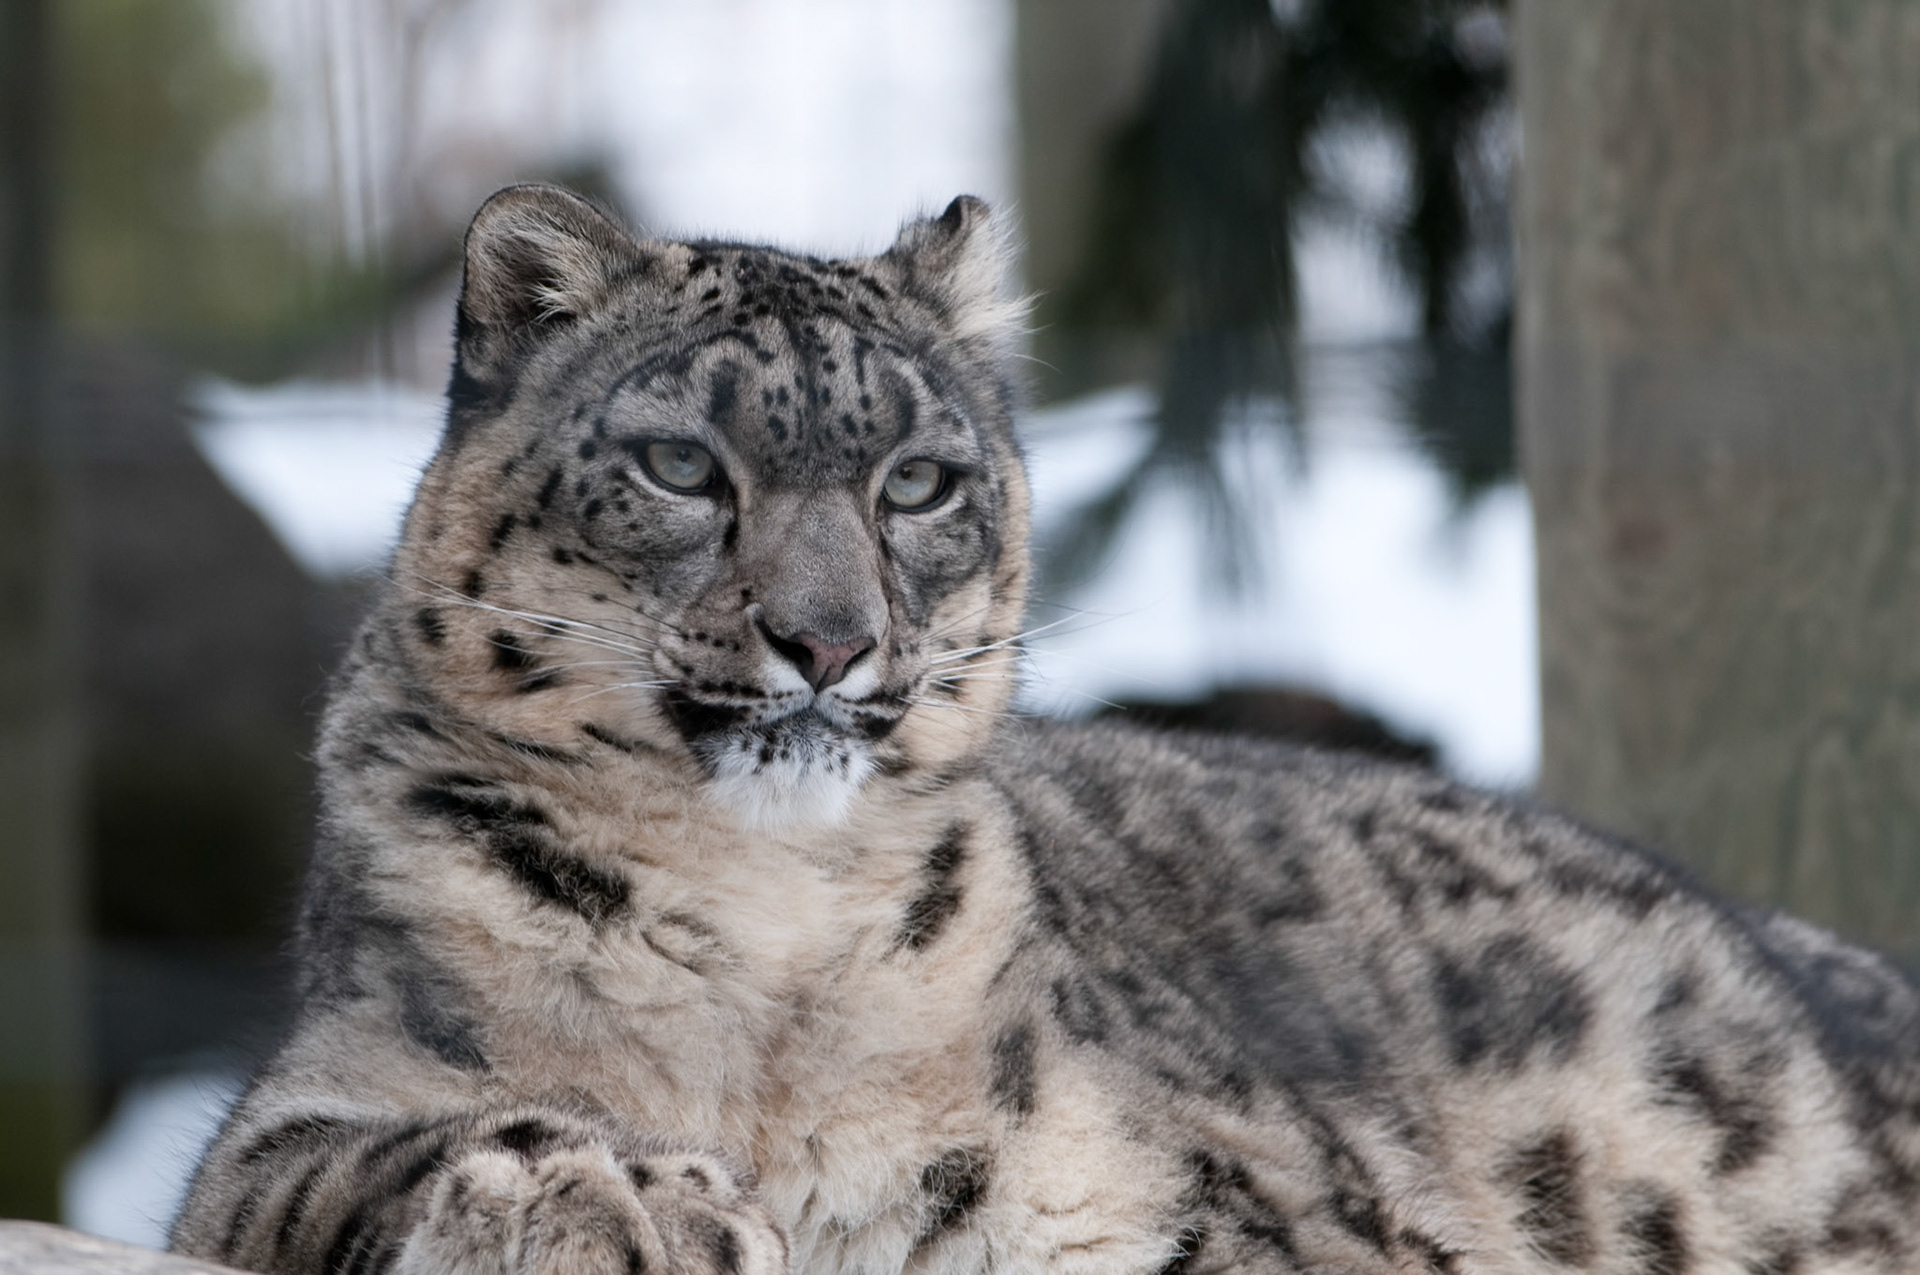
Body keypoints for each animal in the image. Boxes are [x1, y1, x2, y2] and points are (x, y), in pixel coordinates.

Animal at [172, 183, 1920, 1275]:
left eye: (919, 480)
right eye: (680, 465)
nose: (829, 635)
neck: (765, 950)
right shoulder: (331, 1080)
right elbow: (326, 1159)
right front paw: (605, 1189)